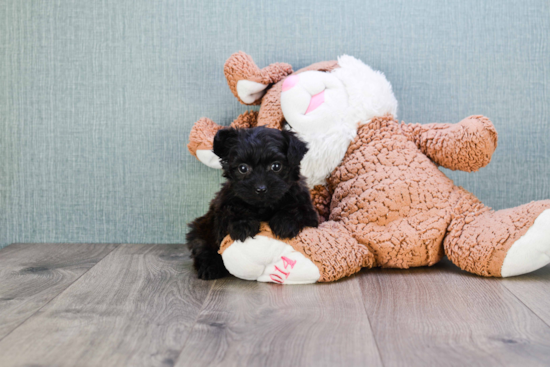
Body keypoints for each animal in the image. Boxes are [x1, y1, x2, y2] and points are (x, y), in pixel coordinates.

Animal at [189, 125, 322, 280]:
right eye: (243, 168)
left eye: (276, 166)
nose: (261, 189)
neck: (263, 207)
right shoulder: (222, 207)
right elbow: (231, 210)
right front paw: (243, 225)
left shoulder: (308, 209)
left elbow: (297, 209)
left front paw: (285, 223)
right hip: (201, 230)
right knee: (203, 248)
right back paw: (210, 267)